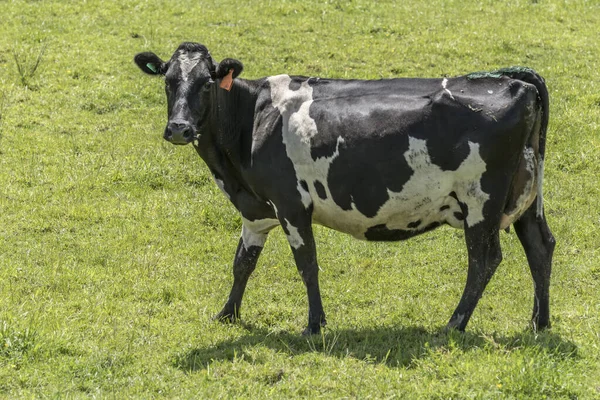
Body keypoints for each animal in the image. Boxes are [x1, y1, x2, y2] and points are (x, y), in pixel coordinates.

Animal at [134, 42, 556, 334]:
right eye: (169, 82)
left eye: (206, 84)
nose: (179, 128)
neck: (252, 120)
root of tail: (511, 79)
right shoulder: (256, 210)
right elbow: (242, 263)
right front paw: (226, 315)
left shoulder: (291, 204)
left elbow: (307, 264)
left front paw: (314, 324)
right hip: (525, 195)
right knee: (540, 246)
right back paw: (539, 322)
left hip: (481, 201)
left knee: (484, 260)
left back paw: (454, 324)